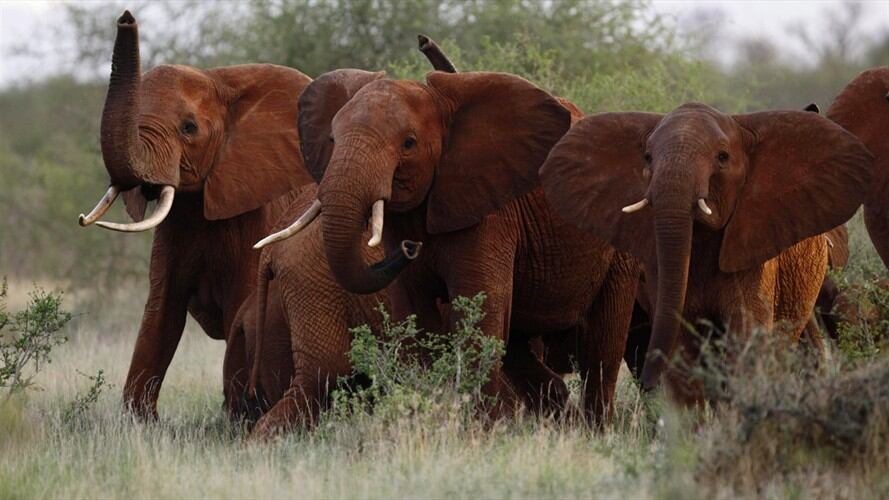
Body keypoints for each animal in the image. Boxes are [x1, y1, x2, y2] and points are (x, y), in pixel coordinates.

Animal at [77, 11, 313, 419]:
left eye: (189, 128)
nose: (126, 17)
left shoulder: (258, 215)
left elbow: (241, 309)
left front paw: (236, 417)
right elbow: (161, 312)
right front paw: (140, 423)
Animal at [261, 68, 641, 422]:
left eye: (409, 143)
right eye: (331, 138)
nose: (409, 248)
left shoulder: (489, 212)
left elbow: (479, 312)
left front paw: (483, 431)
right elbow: (416, 318)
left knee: (603, 346)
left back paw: (594, 428)